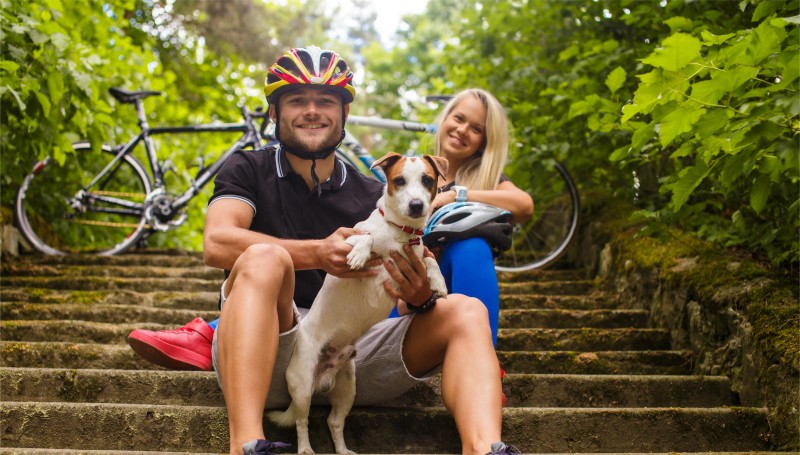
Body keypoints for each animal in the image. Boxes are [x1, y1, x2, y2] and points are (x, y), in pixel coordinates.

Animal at [268, 151, 450, 454]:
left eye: (427, 180)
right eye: (399, 180)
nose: (416, 205)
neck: (400, 233)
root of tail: (322, 376)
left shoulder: (416, 260)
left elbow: (429, 261)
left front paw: (438, 283)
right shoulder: (343, 241)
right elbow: (365, 238)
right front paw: (361, 253)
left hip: (347, 388)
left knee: (334, 422)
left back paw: (343, 450)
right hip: (302, 385)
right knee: (302, 422)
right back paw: (305, 448)